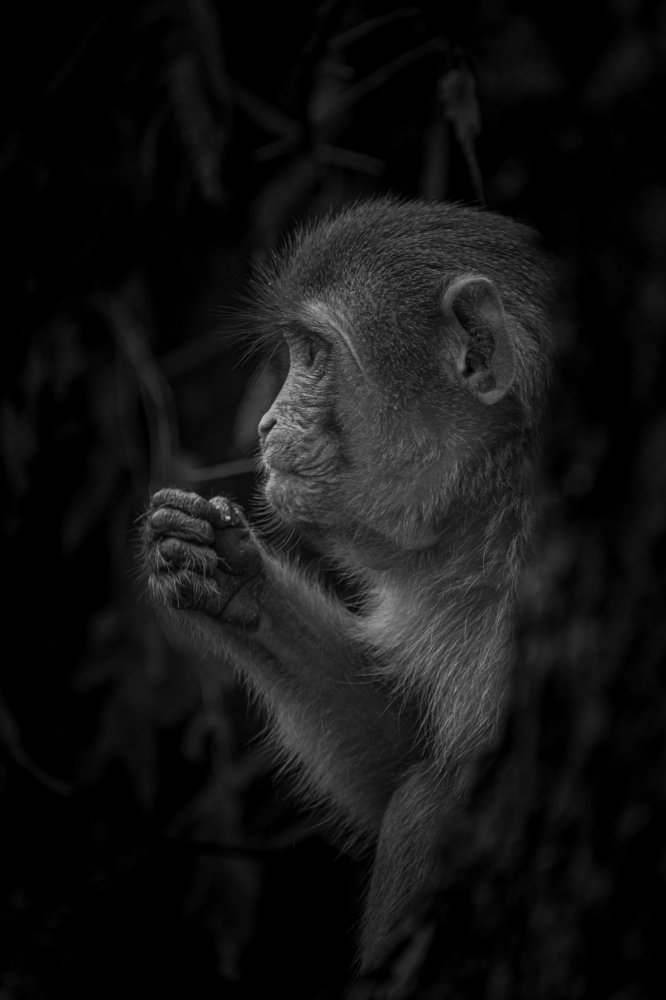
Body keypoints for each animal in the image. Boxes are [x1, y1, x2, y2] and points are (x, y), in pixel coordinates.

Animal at [142, 196, 554, 973]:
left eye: (316, 353)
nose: (267, 422)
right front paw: (231, 578)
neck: (499, 491)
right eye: (297, 351)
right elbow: (402, 755)